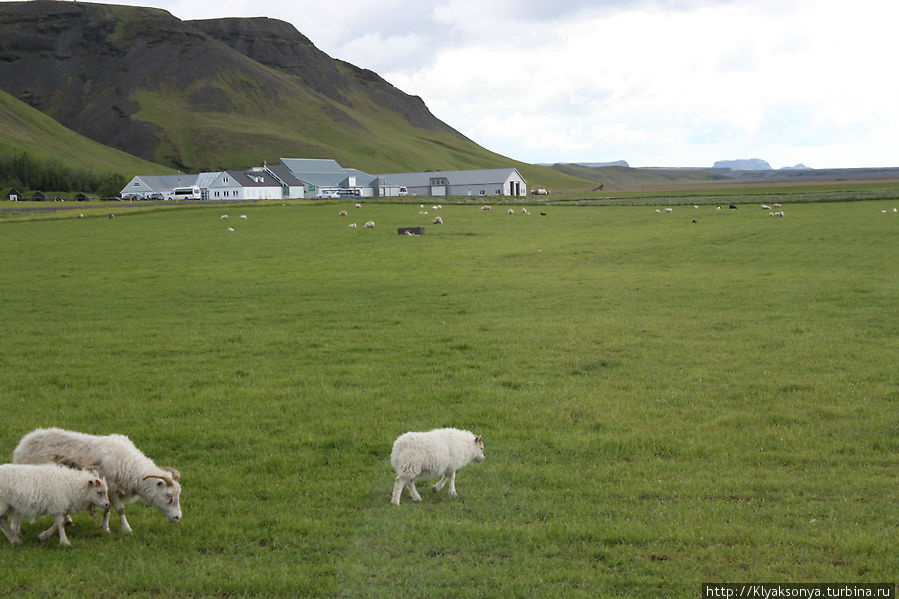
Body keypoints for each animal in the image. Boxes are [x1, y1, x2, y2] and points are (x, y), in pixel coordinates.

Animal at [13, 428, 182, 536]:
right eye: (169, 496)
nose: (178, 518)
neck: (130, 466)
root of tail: (23, 443)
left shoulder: (107, 491)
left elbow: (107, 509)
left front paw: (104, 527)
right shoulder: (112, 489)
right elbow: (120, 509)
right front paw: (126, 529)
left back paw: (68, 521)